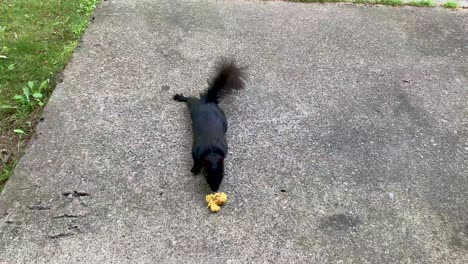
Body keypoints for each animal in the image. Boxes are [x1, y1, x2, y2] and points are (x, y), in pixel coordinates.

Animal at [172, 58, 245, 191]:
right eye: (206, 174)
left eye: (223, 174)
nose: (215, 189)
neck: (212, 151)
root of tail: (208, 101)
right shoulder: (195, 151)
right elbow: (195, 160)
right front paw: (195, 169)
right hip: (194, 105)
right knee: (190, 99)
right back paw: (181, 97)